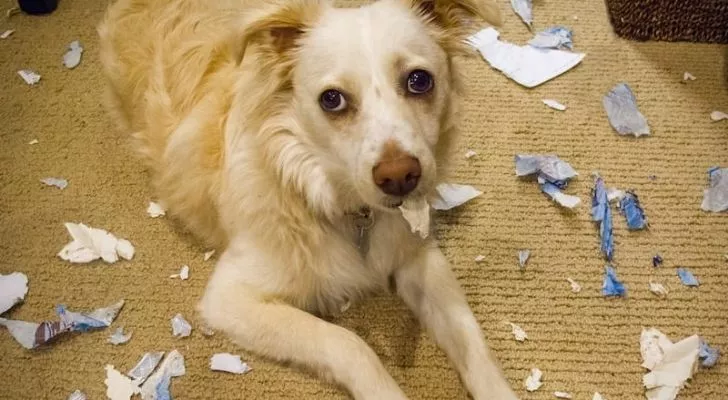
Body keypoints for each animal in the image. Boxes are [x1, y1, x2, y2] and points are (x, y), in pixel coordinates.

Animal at [98, 0, 516, 396]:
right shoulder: (231, 298)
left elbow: (470, 337)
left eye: (419, 80)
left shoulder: (418, 254)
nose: (399, 178)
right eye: (332, 100)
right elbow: (349, 344)